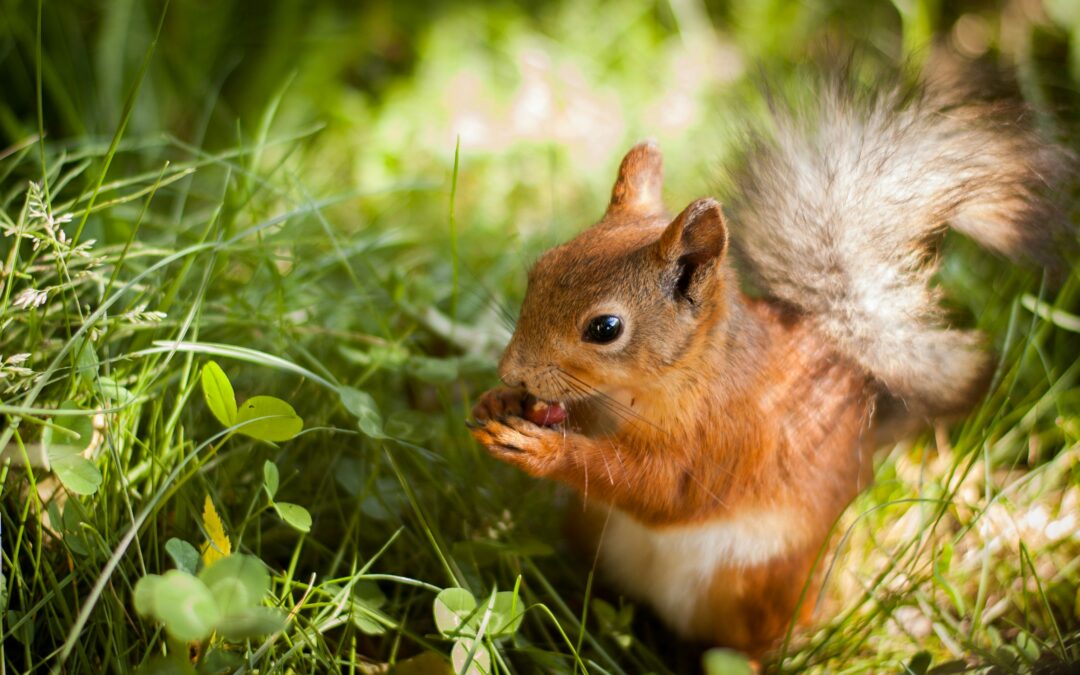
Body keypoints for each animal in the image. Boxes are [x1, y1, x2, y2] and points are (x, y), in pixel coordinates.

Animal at [467, 65, 1071, 655]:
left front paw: (547, 450)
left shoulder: (729, 437)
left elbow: (662, 490)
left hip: (760, 587)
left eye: (605, 328)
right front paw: (499, 402)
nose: (511, 370)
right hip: (592, 535)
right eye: (542, 268)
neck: (655, 384)